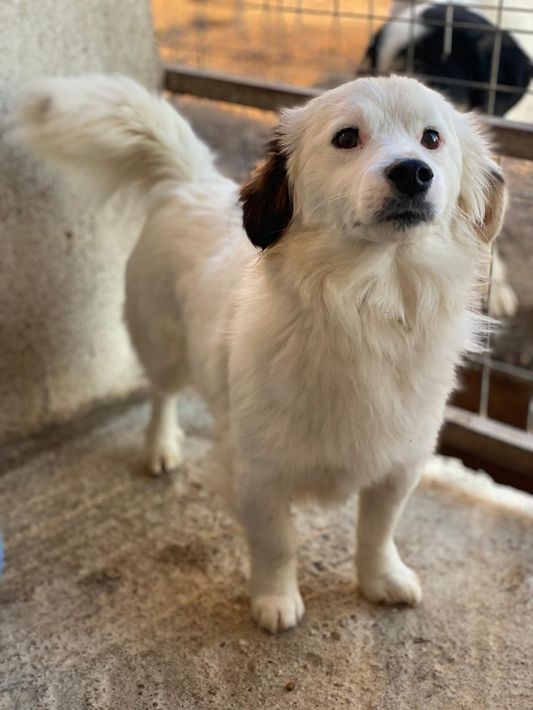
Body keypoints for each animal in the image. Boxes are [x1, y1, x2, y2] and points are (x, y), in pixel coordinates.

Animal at [17, 74, 506, 633]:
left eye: (432, 138)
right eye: (346, 137)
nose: (413, 172)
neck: (364, 306)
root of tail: (192, 183)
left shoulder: (399, 467)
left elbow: (377, 530)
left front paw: (380, 579)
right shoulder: (258, 474)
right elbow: (276, 542)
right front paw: (275, 599)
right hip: (162, 345)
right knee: (161, 395)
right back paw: (160, 447)